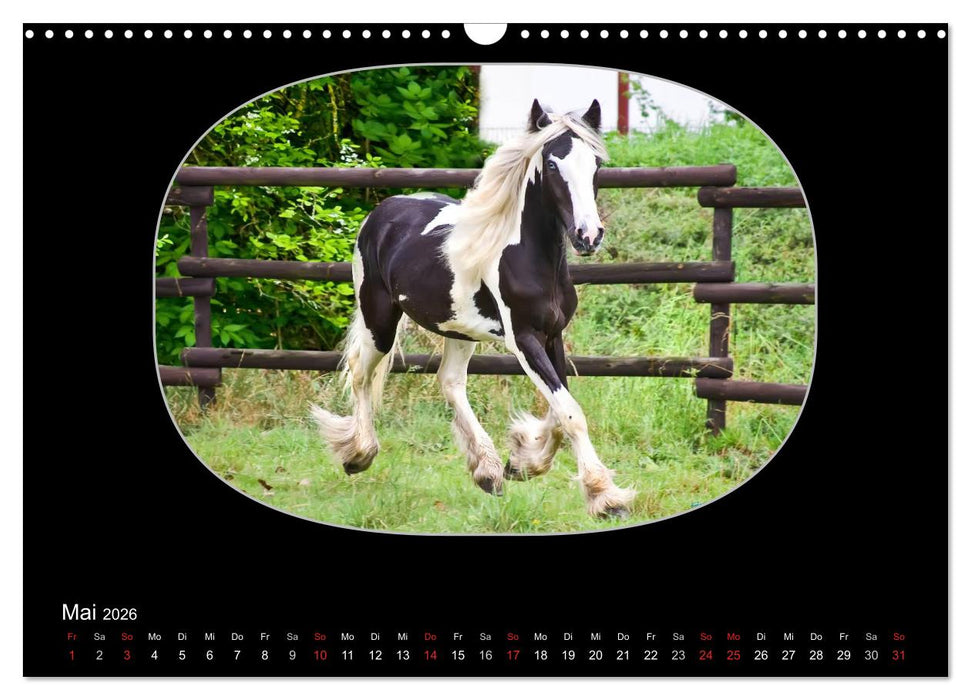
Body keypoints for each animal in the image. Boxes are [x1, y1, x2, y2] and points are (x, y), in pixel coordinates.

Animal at [311, 99, 635, 518]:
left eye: (596, 164)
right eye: (551, 165)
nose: (588, 236)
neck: (529, 258)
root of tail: (382, 210)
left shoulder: (553, 335)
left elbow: (557, 410)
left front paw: (523, 462)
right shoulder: (523, 339)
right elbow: (569, 412)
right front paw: (604, 496)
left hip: (458, 329)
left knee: (450, 382)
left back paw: (488, 471)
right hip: (378, 320)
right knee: (360, 373)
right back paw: (358, 455)